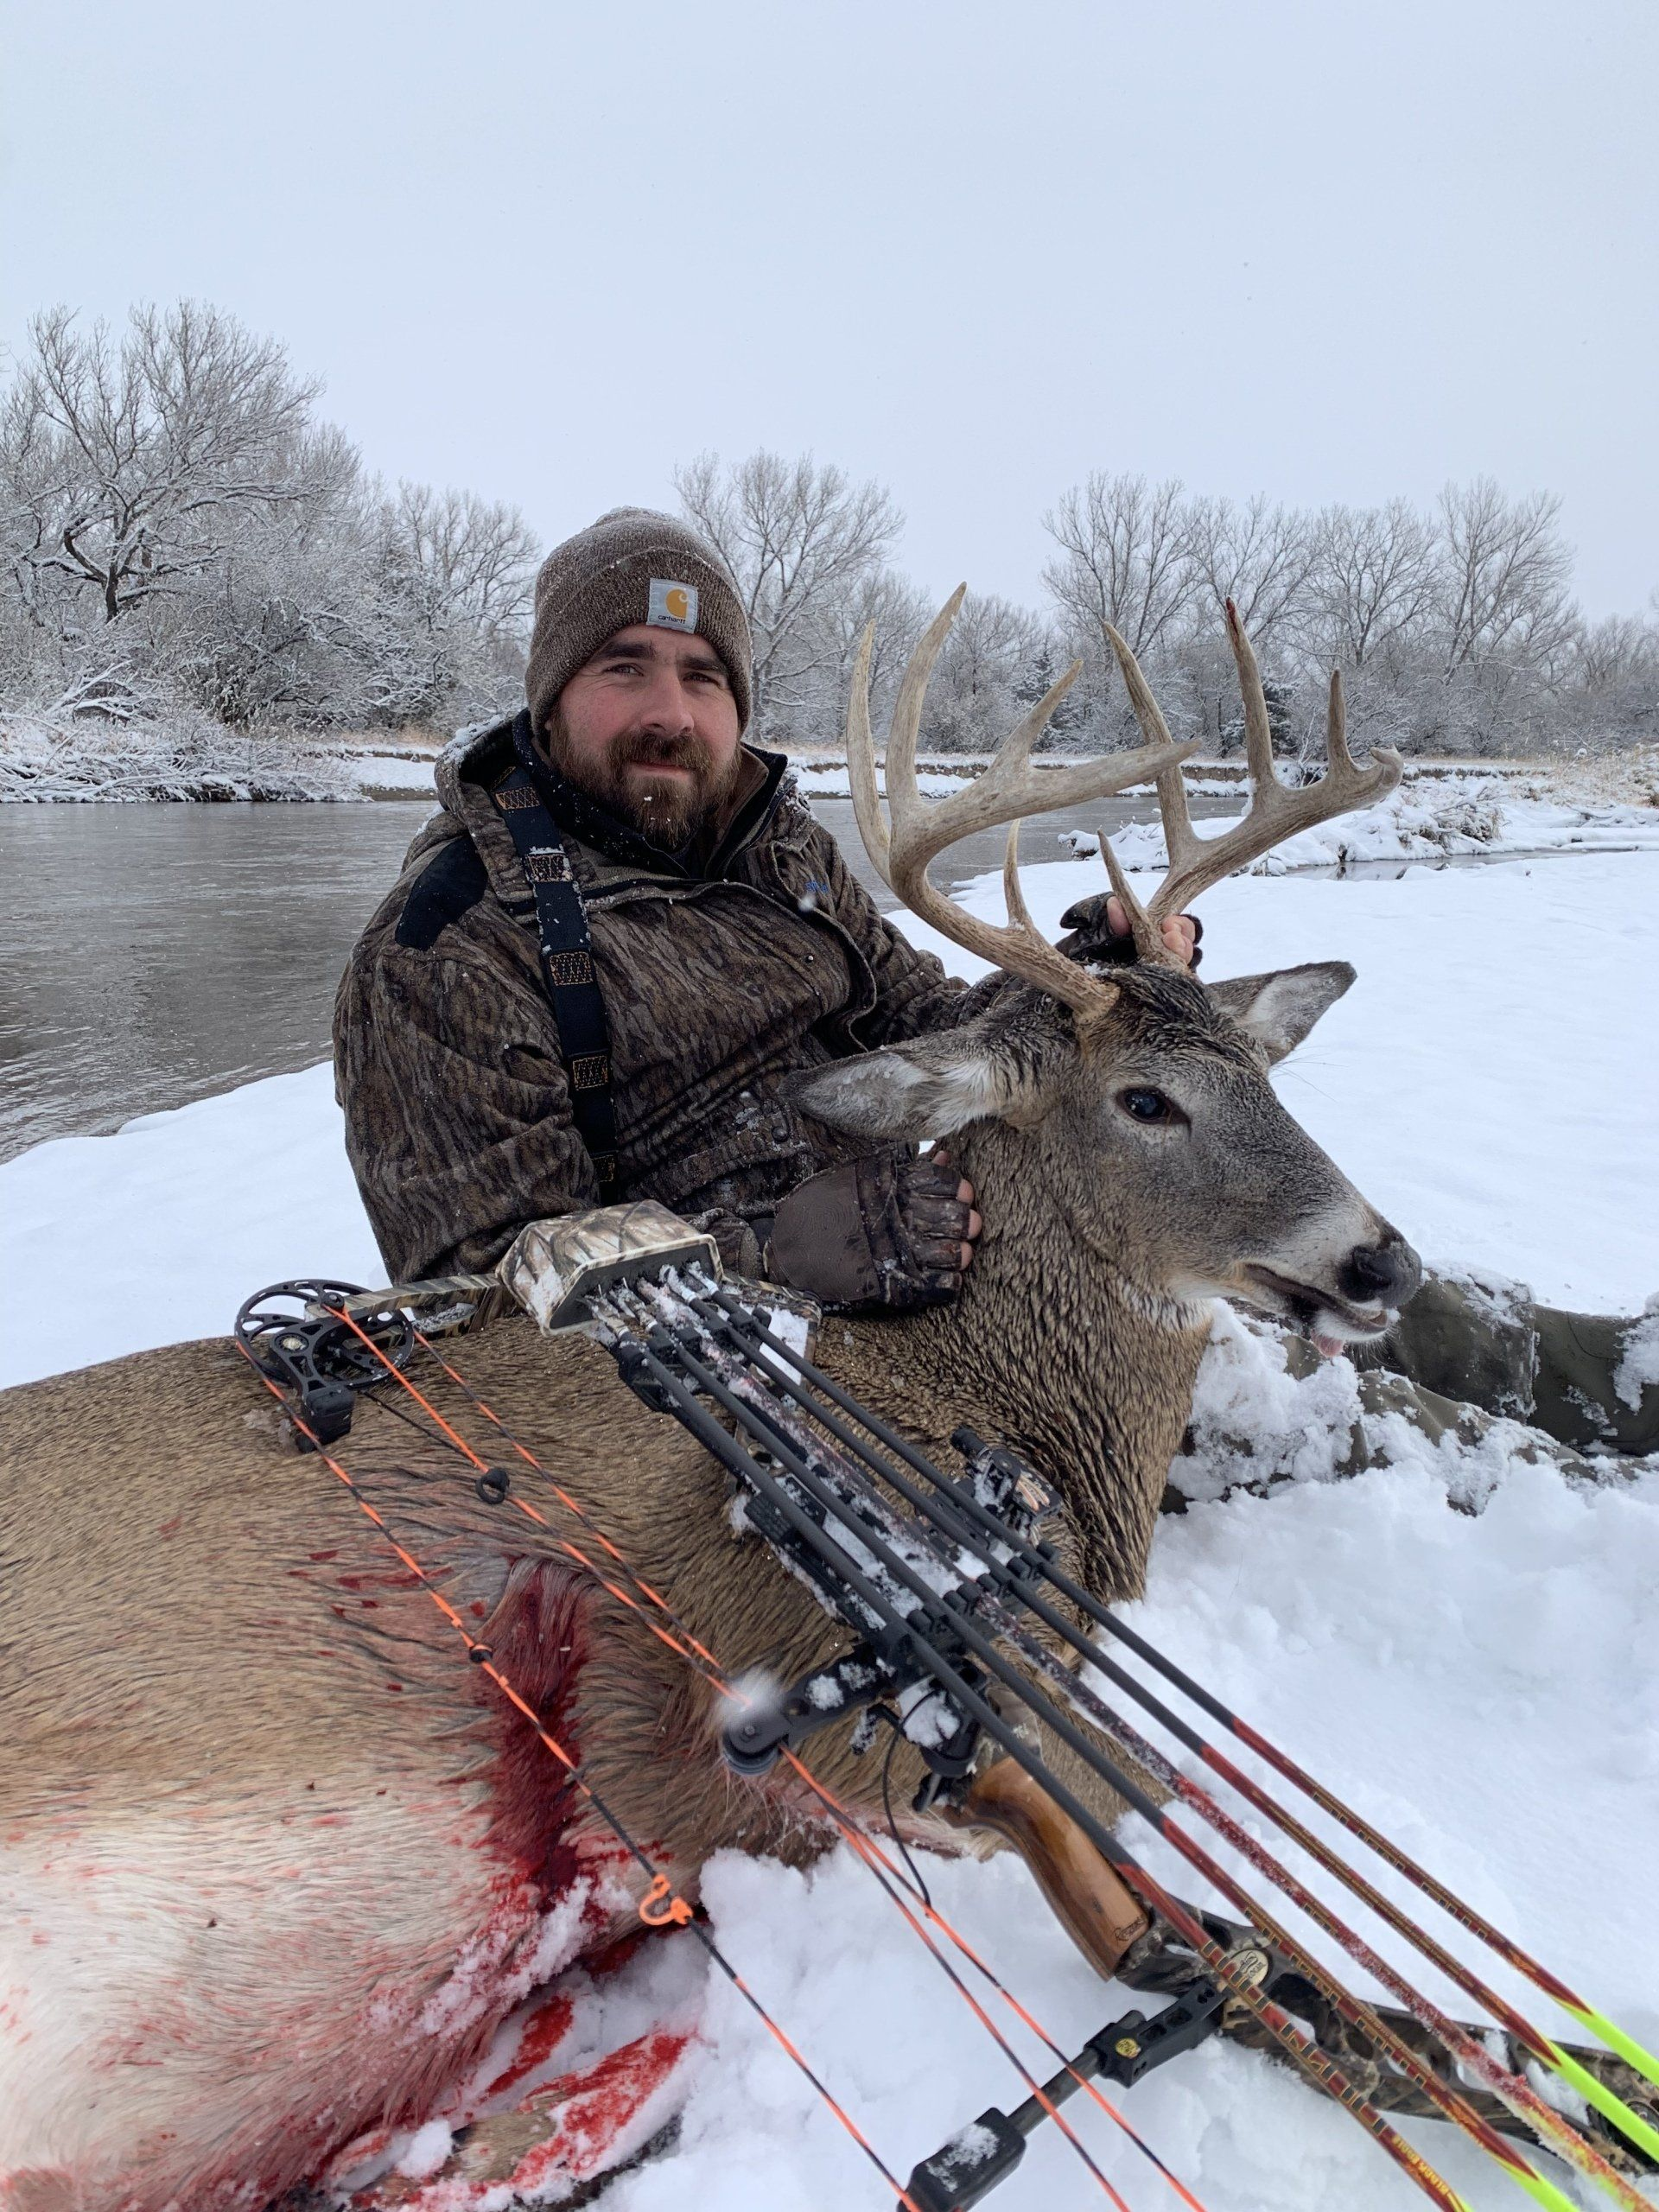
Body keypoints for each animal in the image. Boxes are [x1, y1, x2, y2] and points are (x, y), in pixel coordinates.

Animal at [0, 595, 1421, 2212]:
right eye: (1145, 1101)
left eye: (1260, 1070)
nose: (1381, 1261)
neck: (960, 1402)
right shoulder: (761, 1705)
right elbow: (1144, 1848)